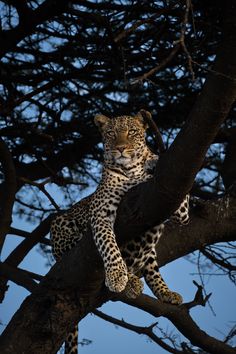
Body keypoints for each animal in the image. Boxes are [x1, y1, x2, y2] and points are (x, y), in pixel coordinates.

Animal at [50, 110, 190, 354]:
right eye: (111, 134)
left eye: (132, 132)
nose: (122, 148)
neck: (131, 171)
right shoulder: (101, 213)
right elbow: (110, 246)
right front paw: (116, 276)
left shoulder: (177, 208)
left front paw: (153, 159)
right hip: (59, 224)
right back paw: (129, 280)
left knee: (150, 264)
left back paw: (162, 291)